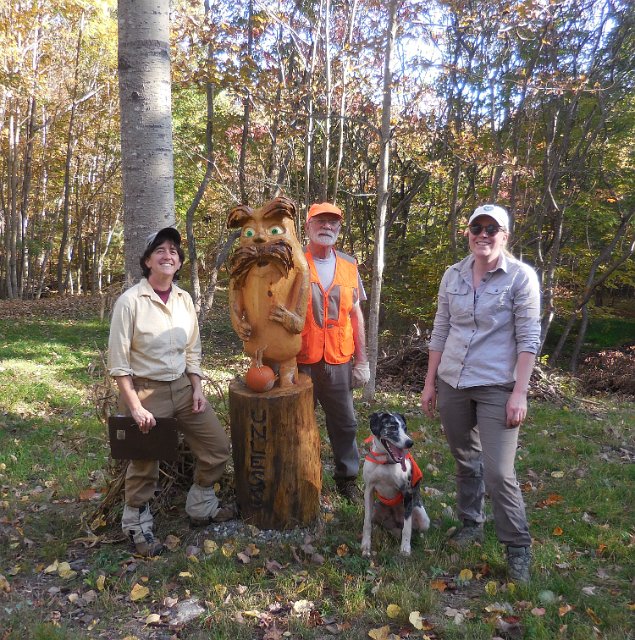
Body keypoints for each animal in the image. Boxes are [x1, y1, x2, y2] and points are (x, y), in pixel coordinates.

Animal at [360, 416, 430, 556]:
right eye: (392, 427)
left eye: (405, 428)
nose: (410, 443)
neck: (385, 461)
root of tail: (397, 520)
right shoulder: (369, 490)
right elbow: (367, 523)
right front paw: (366, 546)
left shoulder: (407, 493)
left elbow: (407, 527)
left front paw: (405, 548)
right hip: (376, 510)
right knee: (380, 524)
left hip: (423, 518)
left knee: (414, 528)